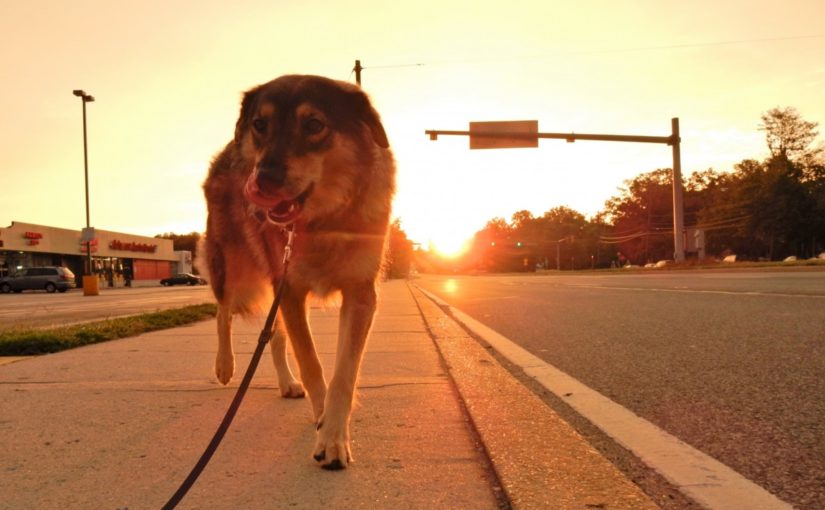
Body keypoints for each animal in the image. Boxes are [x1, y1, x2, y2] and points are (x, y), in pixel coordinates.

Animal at [198, 74, 394, 470]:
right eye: (260, 125)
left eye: (314, 125)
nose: (262, 180)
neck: (323, 220)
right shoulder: (290, 289)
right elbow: (312, 363)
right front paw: (324, 429)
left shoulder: (359, 293)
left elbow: (343, 374)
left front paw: (333, 434)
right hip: (234, 269)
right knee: (223, 311)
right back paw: (225, 365)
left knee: (273, 334)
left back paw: (286, 383)